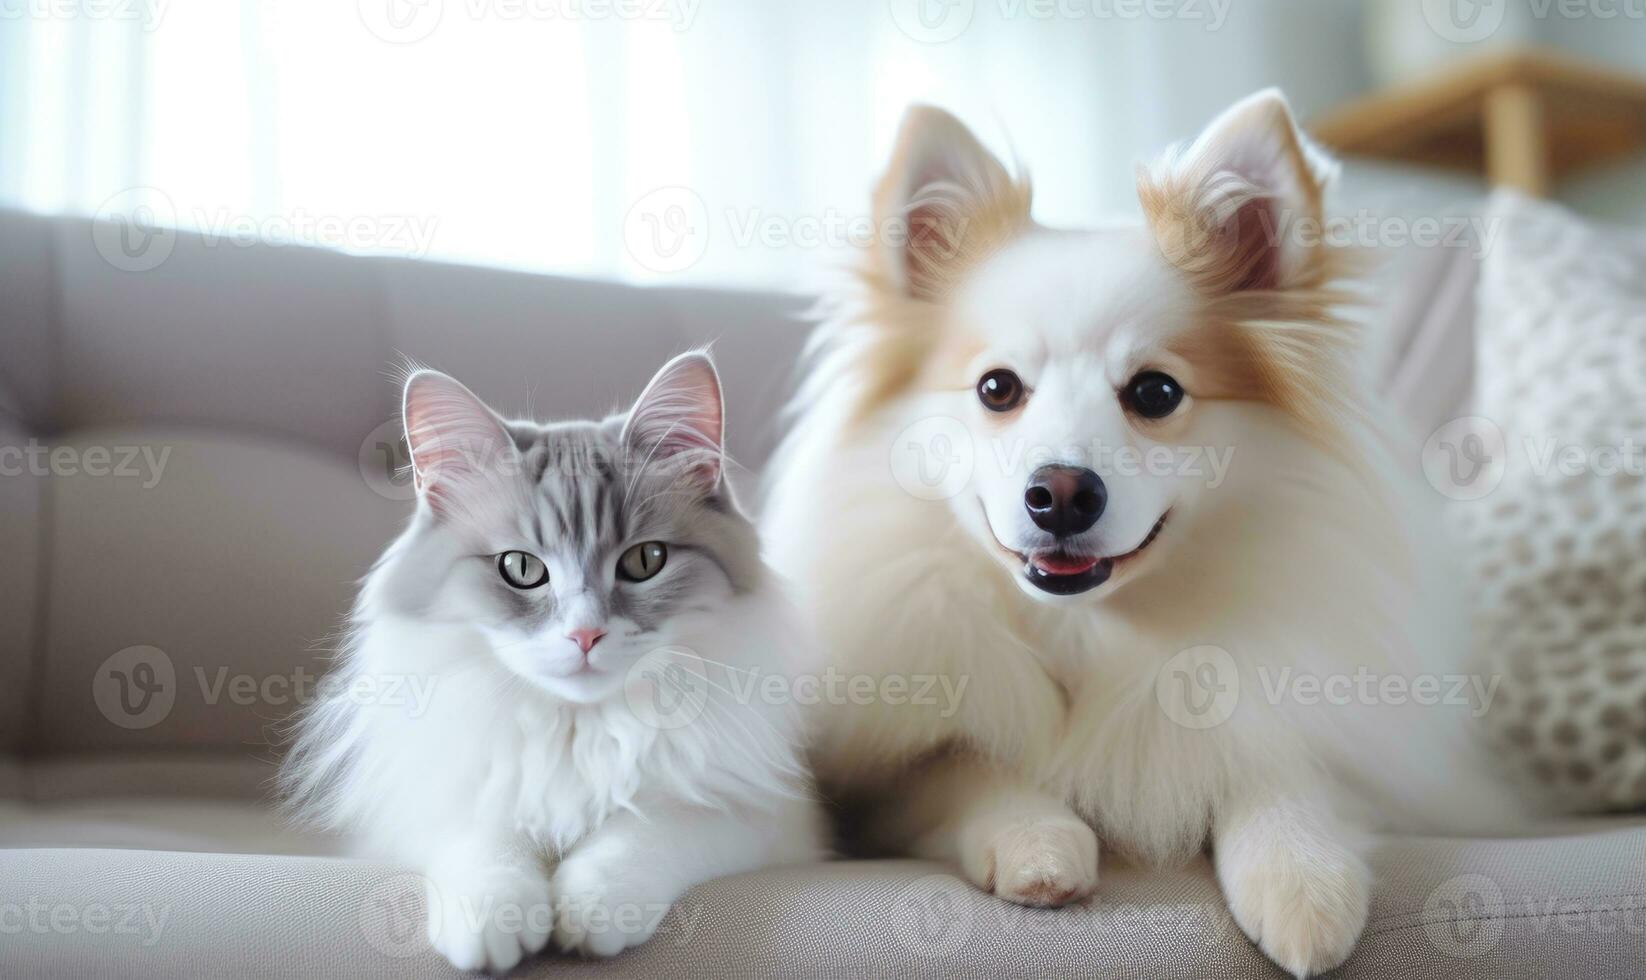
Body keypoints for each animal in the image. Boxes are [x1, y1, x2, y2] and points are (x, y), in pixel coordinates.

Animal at [283, 352, 829, 975]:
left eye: (646, 560)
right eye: (521, 568)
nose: (585, 634)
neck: (576, 727)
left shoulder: (759, 812)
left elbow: (643, 833)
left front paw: (591, 910)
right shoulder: (434, 800)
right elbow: (487, 841)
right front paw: (495, 926)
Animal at [763, 90, 1520, 975]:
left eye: (1155, 392)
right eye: (996, 388)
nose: (1060, 493)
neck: (1089, 631)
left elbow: (1282, 767)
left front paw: (1302, 881)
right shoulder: (882, 776)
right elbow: (963, 763)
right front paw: (1038, 839)